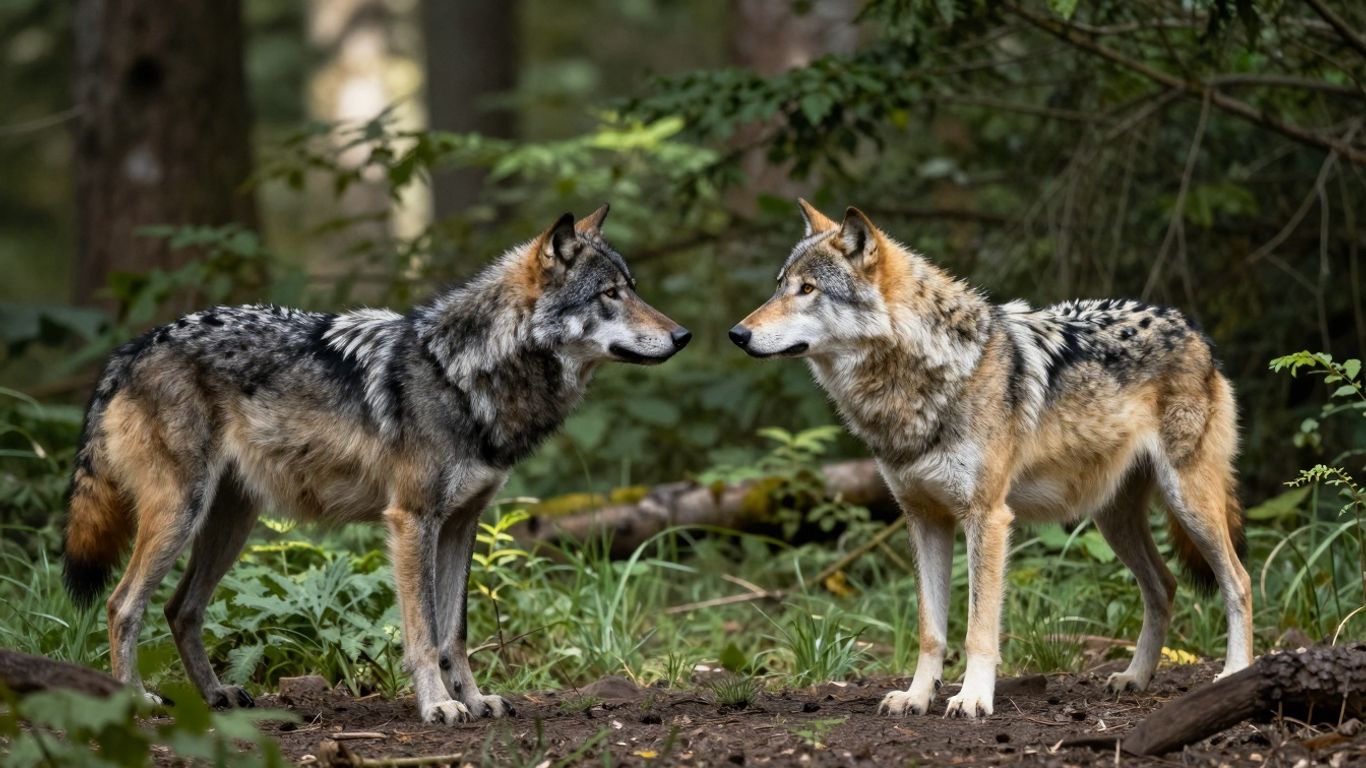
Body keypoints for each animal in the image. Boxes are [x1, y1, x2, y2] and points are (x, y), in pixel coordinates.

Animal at [61, 206, 691, 723]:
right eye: (609, 293)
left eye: (633, 289)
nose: (683, 335)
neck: (464, 375)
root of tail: (133, 346)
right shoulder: (412, 520)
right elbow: (424, 633)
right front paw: (437, 706)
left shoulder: (462, 523)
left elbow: (455, 632)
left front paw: (474, 699)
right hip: (180, 516)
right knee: (123, 605)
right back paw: (134, 700)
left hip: (230, 525)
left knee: (181, 609)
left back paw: (216, 696)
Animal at [730, 200, 1250, 718]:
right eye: (780, 285)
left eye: (807, 290)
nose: (737, 333)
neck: (918, 380)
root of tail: (1189, 325)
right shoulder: (924, 519)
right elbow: (931, 630)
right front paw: (917, 696)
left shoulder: (988, 517)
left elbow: (978, 627)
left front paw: (973, 698)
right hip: (1113, 520)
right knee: (1164, 586)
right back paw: (1135, 677)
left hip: (1189, 503)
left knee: (1238, 582)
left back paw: (1234, 674)